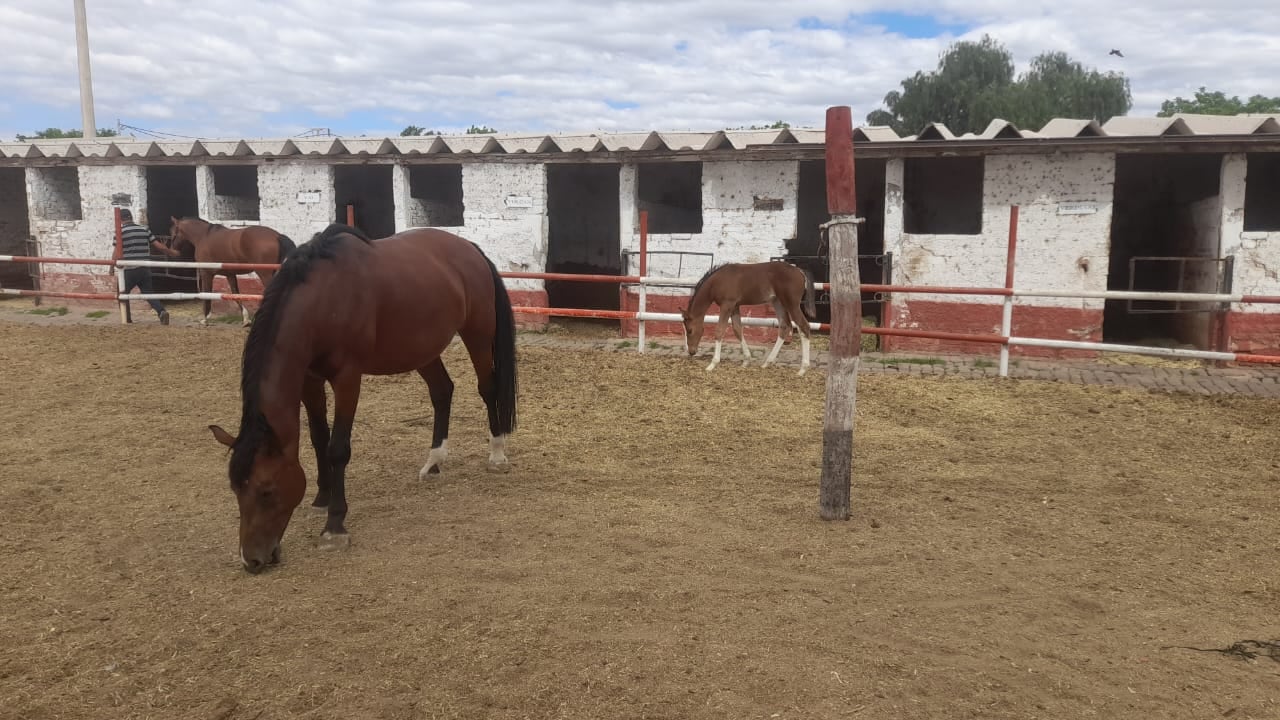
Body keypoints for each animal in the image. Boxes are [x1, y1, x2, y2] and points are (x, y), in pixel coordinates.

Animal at [207, 222, 517, 571]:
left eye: (266, 491)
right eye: (235, 489)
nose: (252, 560)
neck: (322, 298)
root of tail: (469, 249)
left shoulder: (347, 379)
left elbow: (338, 448)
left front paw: (334, 526)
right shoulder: (309, 379)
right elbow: (318, 438)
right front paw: (322, 498)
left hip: (477, 334)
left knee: (487, 388)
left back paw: (496, 455)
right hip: (420, 349)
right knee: (441, 391)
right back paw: (434, 462)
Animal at [680, 262, 819, 376]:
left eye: (690, 330)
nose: (691, 352)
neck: (717, 282)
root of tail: (799, 270)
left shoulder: (727, 305)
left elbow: (719, 330)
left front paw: (712, 364)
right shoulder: (735, 306)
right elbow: (737, 329)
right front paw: (746, 360)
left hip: (791, 303)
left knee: (804, 326)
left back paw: (802, 369)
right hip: (777, 301)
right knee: (785, 325)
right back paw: (767, 363)